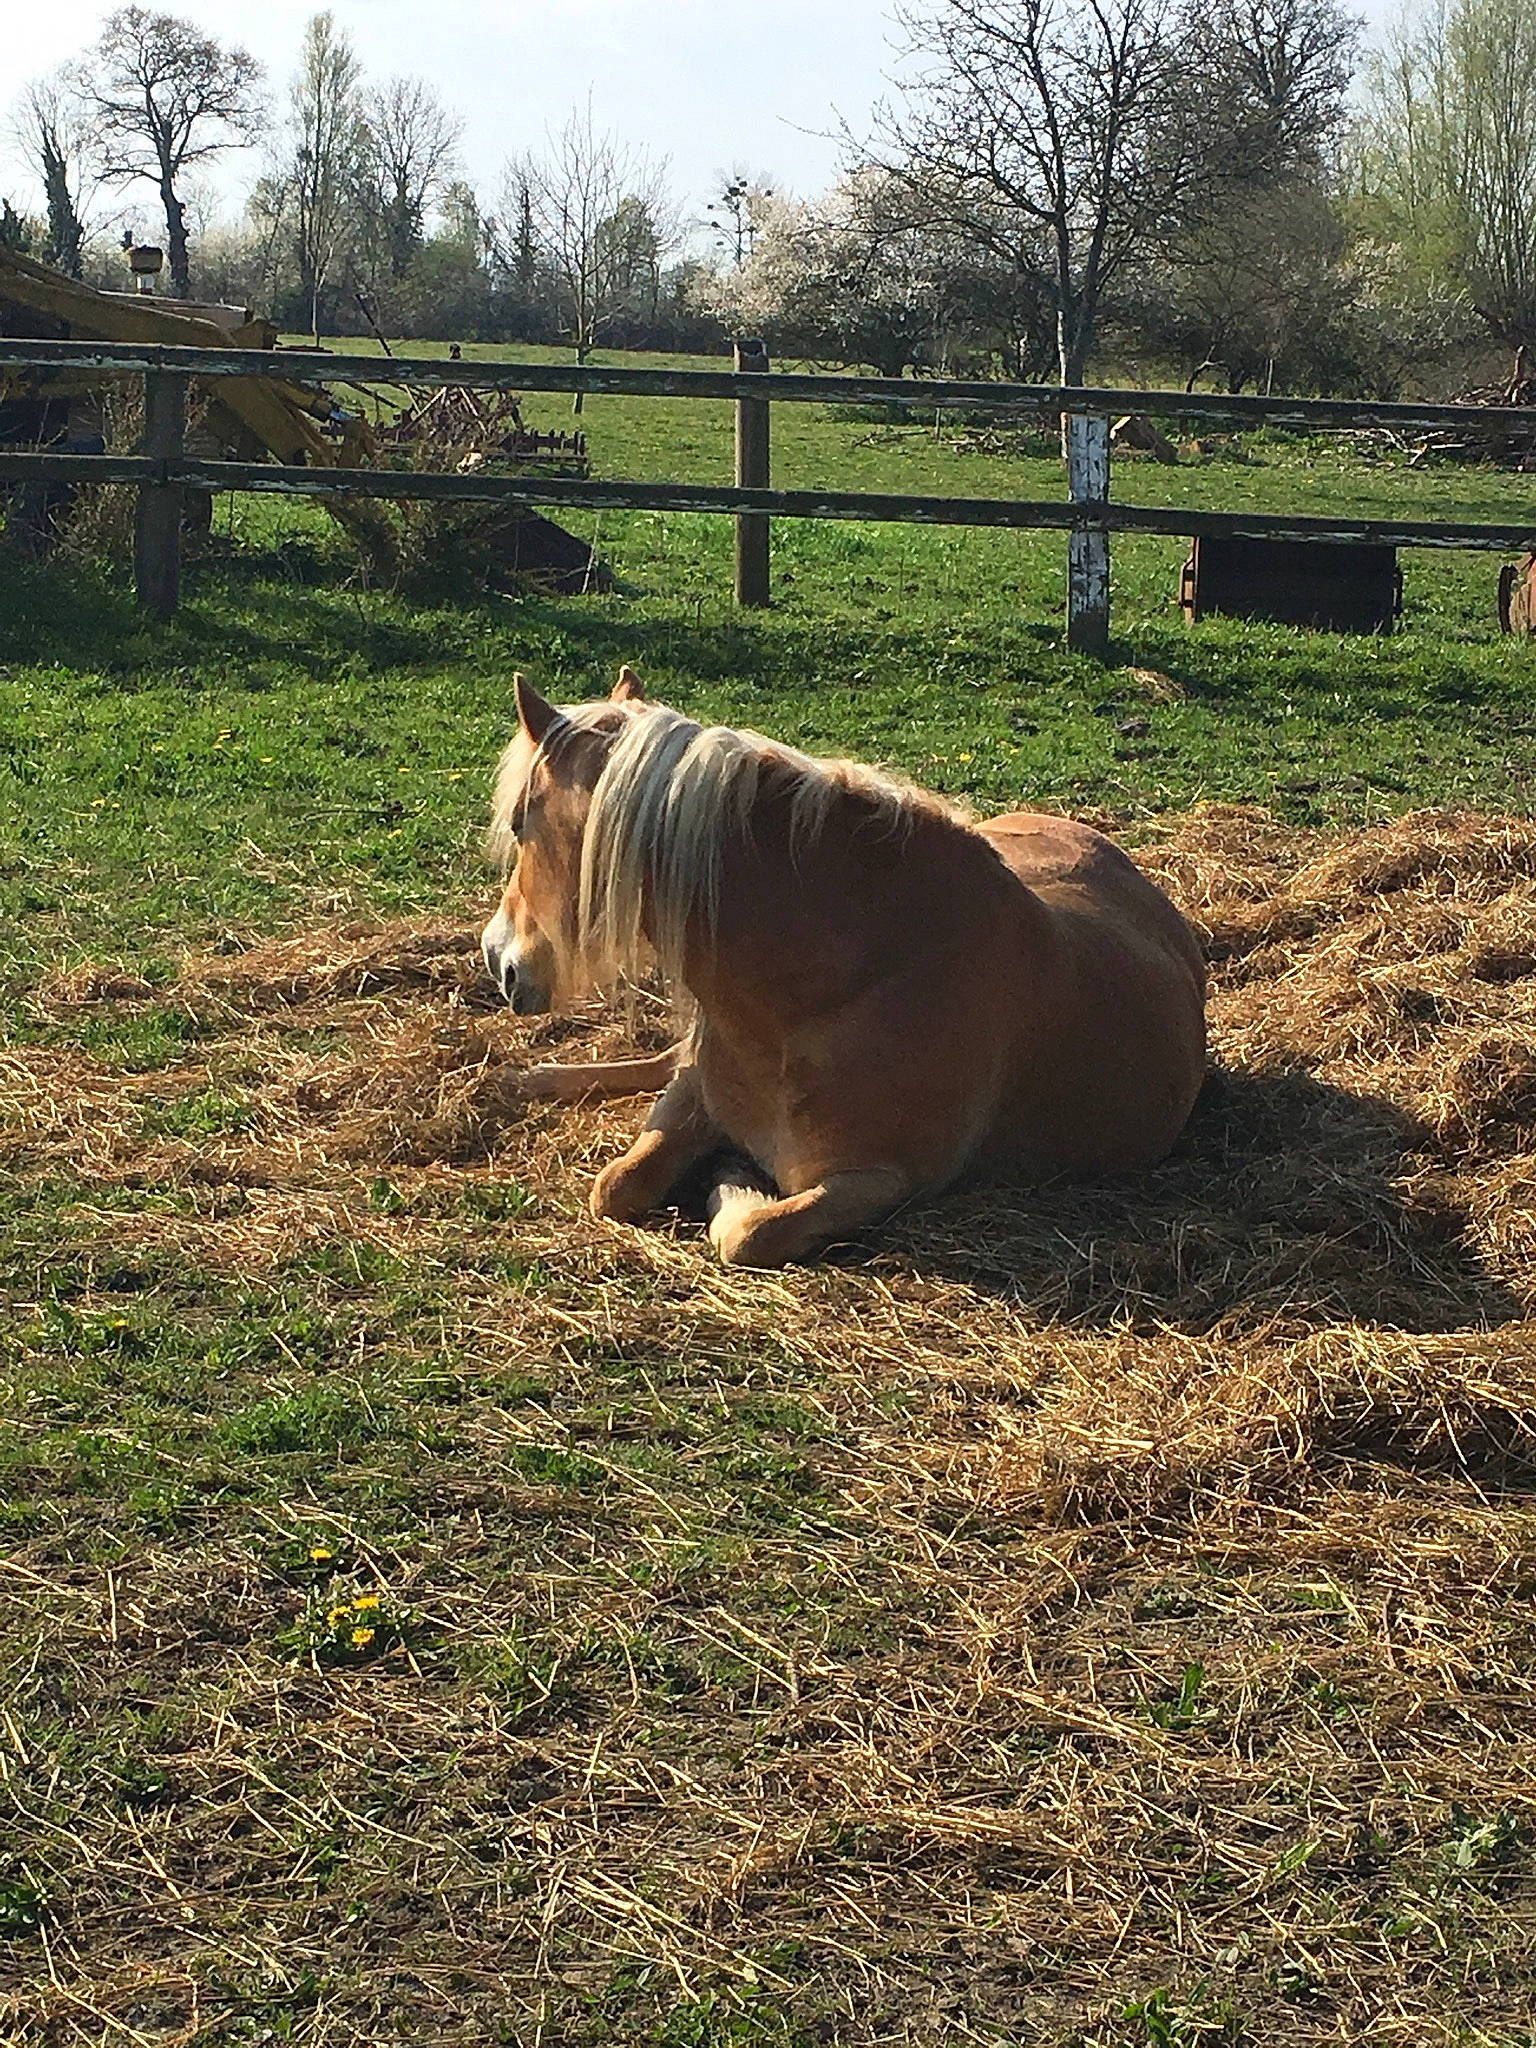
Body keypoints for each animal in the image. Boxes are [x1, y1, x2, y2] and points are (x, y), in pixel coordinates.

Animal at [480, 666, 1207, 1268]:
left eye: (520, 823)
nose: (496, 957)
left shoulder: (882, 1180)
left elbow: (750, 1232)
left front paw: (733, 1183)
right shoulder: (693, 1096)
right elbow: (617, 1184)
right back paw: (529, 1079)